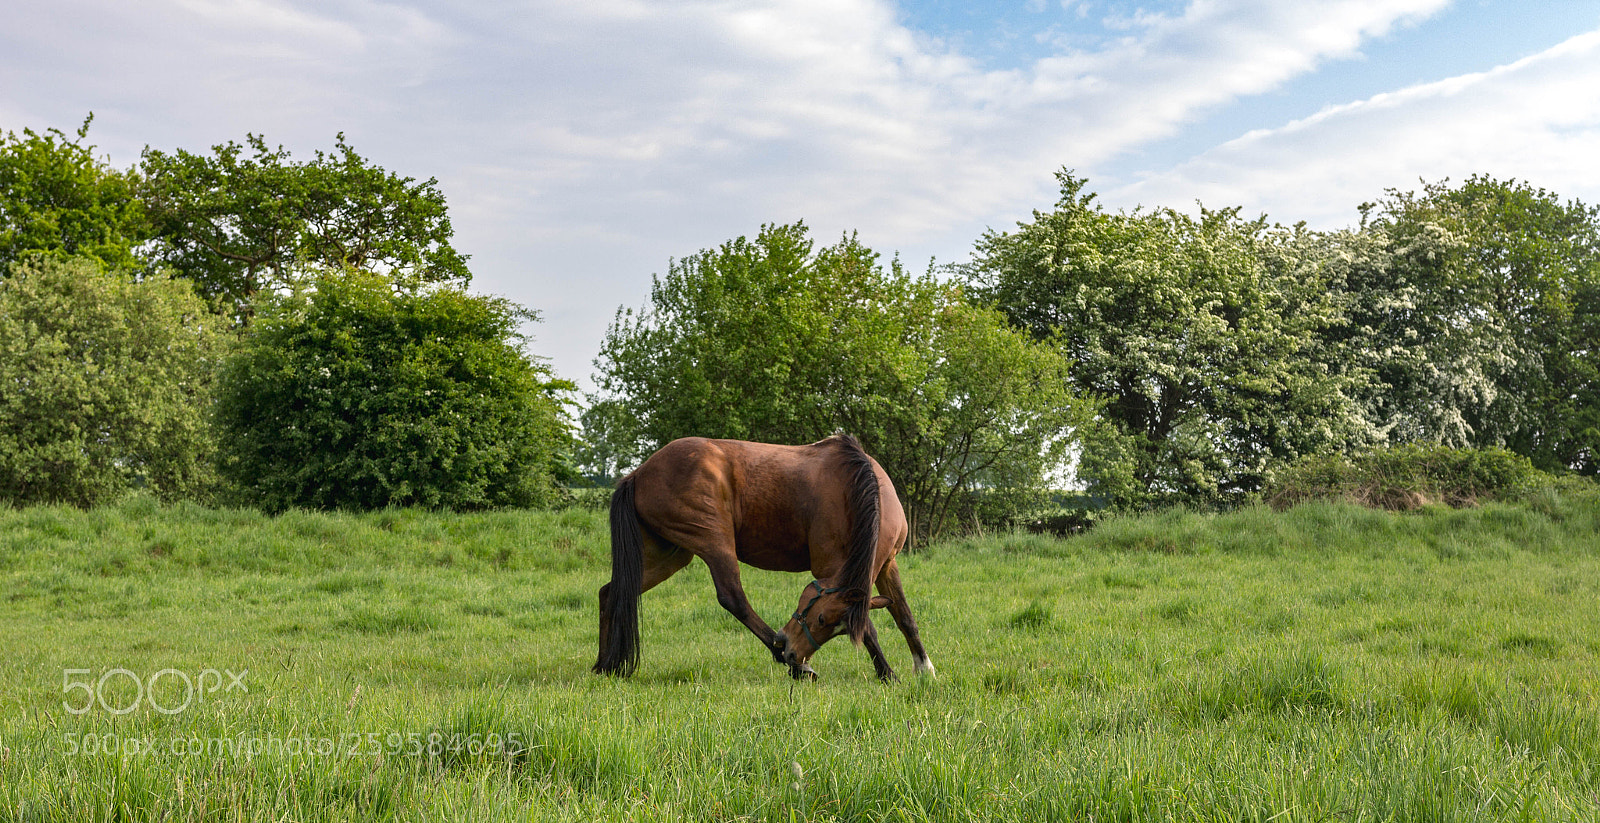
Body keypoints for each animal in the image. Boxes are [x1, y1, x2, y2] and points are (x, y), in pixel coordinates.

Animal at [593, 434, 935, 681]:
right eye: (821, 619)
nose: (793, 652)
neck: (854, 488)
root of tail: (639, 472)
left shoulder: (887, 565)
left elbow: (905, 616)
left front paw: (924, 669)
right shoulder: (830, 567)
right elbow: (869, 626)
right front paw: (887, 672)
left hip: (669, 555)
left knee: (612, 593)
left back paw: (604, 665)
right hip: (713, 540)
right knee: (733, 598)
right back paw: (794, 665)